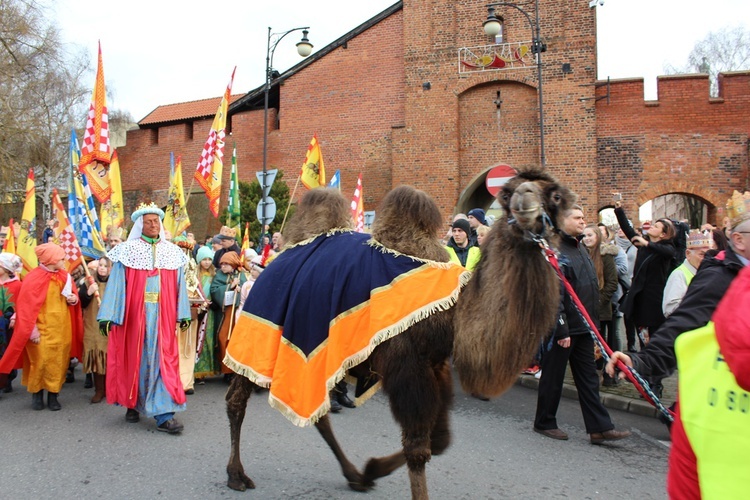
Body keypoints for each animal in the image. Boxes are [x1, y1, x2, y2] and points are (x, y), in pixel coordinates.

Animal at [223, 170, 576, 498]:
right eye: (505, 193)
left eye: (556, 195)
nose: (524, 200)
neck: (452, 313)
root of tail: (269, 263)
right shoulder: (407, 362)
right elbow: (418, 449)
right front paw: (381, 471)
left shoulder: (436, 364)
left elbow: (440, 441)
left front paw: (371, 469)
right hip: (260, 332)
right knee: (236, 398)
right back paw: (236, 474)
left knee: (318, 411)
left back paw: (354, 475)